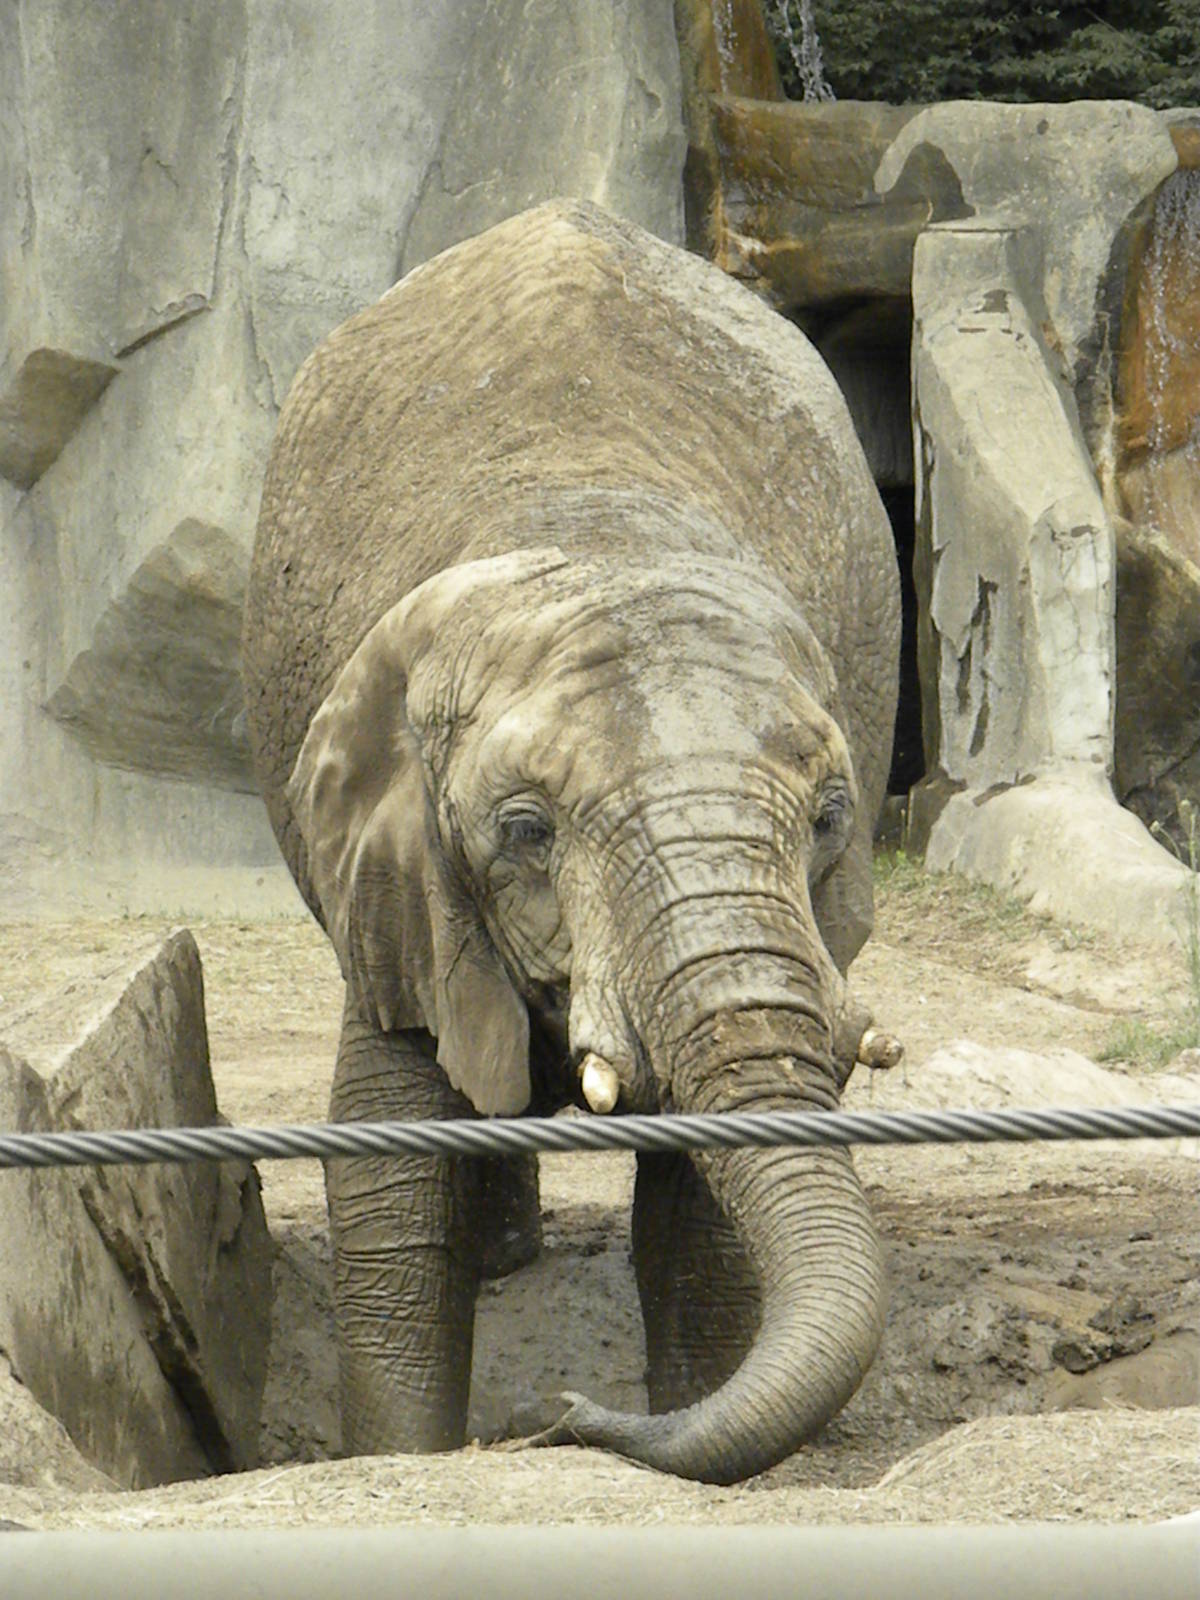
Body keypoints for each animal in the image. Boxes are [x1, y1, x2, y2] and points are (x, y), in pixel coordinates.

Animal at [242, 200, 901, 1485]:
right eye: (525, 832)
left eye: (831, 821)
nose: (549, 1413)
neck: (595, 525)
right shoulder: (396, 874)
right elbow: (392, 1187)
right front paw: (407, 1456)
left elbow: (699, 1215)